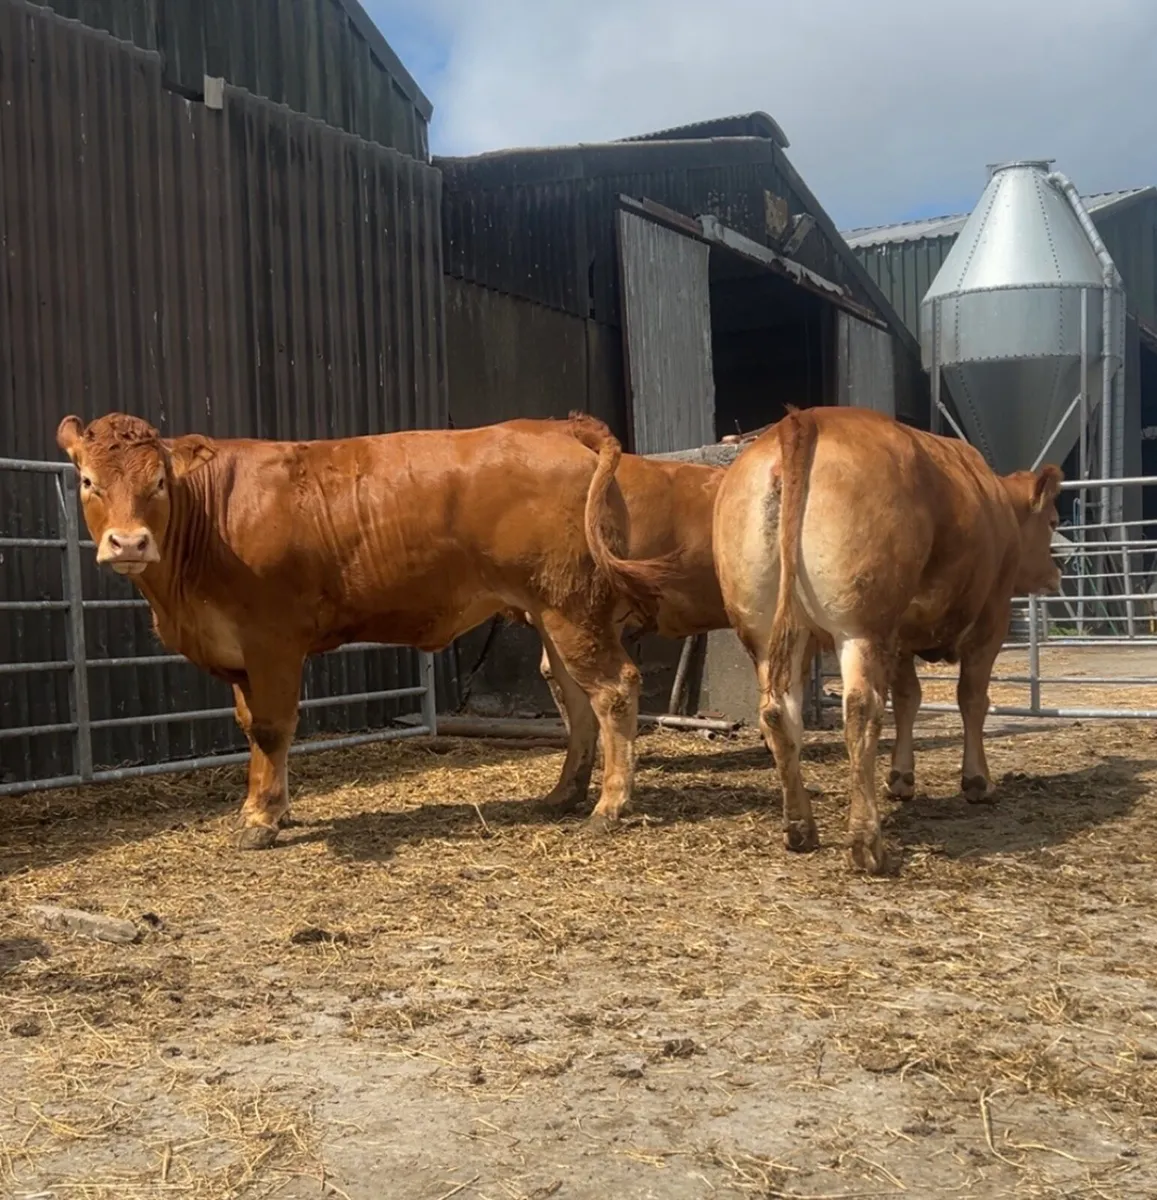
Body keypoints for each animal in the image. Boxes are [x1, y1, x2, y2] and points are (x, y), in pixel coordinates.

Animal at [56, 411, 668, 849]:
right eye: (88, 481)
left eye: (159, 482)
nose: (129, 543)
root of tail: (559, 427)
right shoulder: (237, 650)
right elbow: (251, 726)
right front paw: (268, 805)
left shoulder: (272, 639)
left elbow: (272, 728)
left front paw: (262, 819)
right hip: (553, 611)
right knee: (575, 697)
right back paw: (563, 794)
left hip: (571, 606)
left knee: (613, 690)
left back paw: (610, 806)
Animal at [712, 405, 1062, 874]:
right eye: (1053, 521)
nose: (1058, 572)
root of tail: (801, 420)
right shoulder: (991, 619)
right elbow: (971, 699)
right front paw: (977, 781)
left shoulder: (900, 636)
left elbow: (909, 698)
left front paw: (901, 777)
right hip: (859, 626)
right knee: (861, 710)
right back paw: (867, 843)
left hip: (766, 629)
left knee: (777, 713)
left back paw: (800, 827)